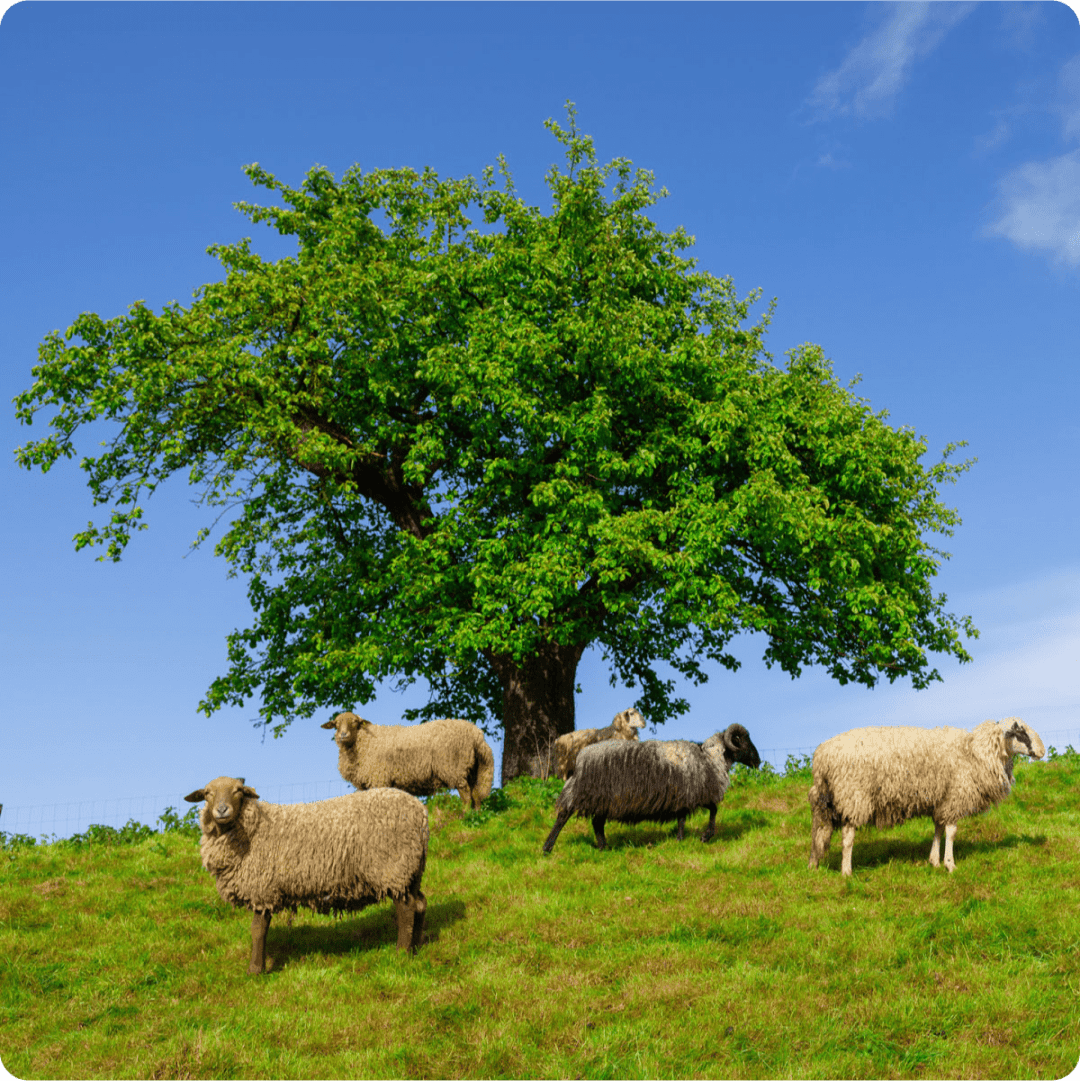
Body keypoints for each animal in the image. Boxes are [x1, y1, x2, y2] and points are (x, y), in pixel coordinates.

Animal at [183, 773, 428, 977]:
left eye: (238, 791)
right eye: (207, 793)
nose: (222, 810)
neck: (252, 830)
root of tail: (421, 812)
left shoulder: (263, 889)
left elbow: (258, 931)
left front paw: (255, 970)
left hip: (394, 868)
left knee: (406, 909)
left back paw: (401, 954)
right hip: (412, 869)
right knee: (419, 904)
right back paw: (416, 947)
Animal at [322, 709, 495, 812]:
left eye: (355, 723)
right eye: (336, 724)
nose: (343, 735)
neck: (363, 742)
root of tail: (476, 733)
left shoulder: (379, 778)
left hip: (454, 766)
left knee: (465, 793)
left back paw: (464, 815)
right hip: (472, 767)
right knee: (475, 792)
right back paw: (476, 814)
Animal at [540, 726, 761, 851]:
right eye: (744, 741)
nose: (758, 762)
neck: (709, 758)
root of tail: (579, 759)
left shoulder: (683, 796)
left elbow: (682, 819)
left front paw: (680, 840)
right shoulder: (696, 792)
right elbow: (713, 810)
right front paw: (705, 837)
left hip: (603, 800)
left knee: (596, 823)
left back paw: (604, 847)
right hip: (585, 792)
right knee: (564, 815)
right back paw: (548, 847)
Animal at [812, 717, 1046, 877]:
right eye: (1020, 732)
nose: (1042, 752)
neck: (976, 752)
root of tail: (822, 756)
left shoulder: (941, 800)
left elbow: (938, 829)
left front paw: (934, 861)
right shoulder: (955, 796)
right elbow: (951, 832)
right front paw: (950, 864)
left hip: (825, 802)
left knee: (818, 833)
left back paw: (813, 865)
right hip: (853, 796)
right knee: (847, 837)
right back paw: (847, 872)